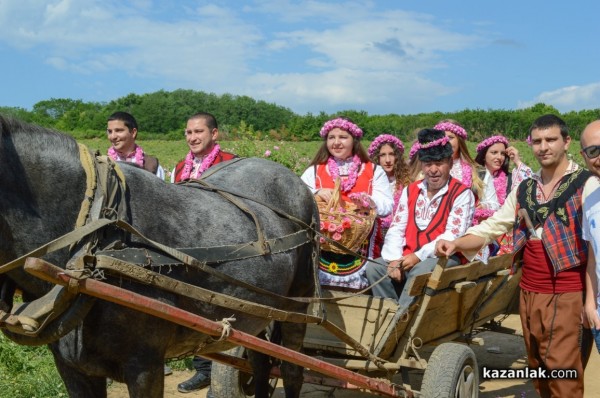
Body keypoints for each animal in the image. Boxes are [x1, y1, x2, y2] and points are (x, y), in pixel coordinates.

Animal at [0, 116, 318, 398]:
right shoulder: (72, 367)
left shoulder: (145, 364)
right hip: (262, 311)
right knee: (261, 363)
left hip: (298, 303)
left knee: (292, 370)